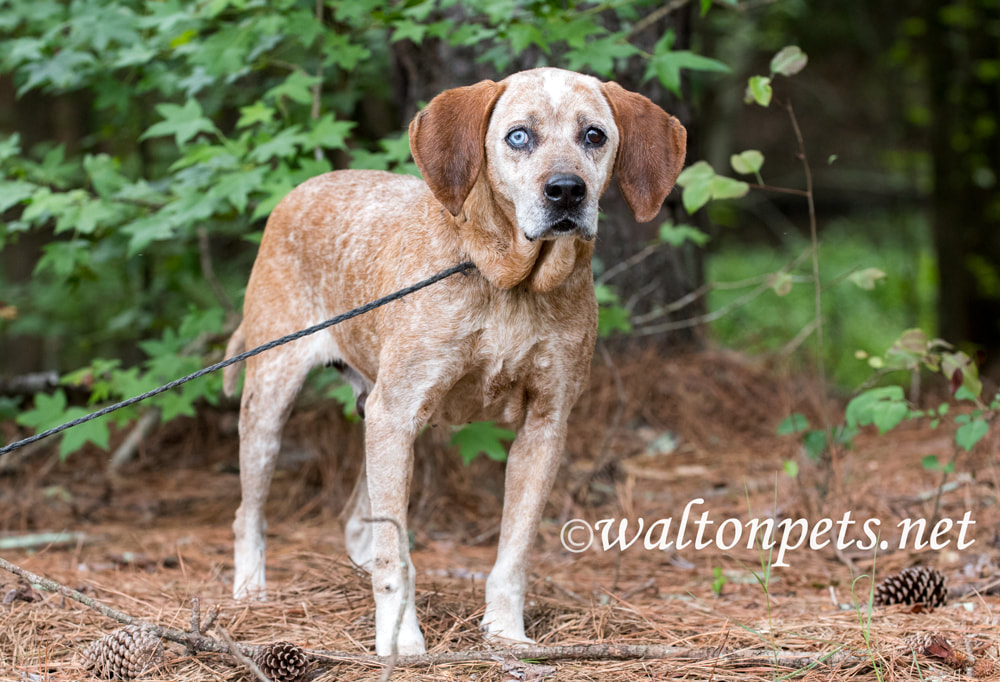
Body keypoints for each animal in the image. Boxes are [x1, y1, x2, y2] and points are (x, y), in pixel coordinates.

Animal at [222, 65, 684, 652]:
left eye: (594, 136)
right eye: (518, 136)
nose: (566, 191)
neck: (510, 282)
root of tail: (298, 191)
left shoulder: (545, 423)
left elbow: (513, 553)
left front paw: (505, 633)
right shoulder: (397, 414)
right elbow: (398, 558)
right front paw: (400, 639)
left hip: (374, 416)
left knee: (356, 521)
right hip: (274, 403)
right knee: (250, 514)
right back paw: (250, 593)